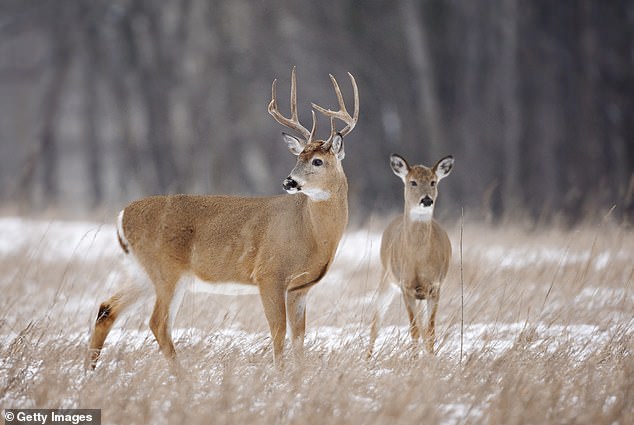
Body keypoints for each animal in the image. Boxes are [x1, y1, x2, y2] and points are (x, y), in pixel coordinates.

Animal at [87, 67, 358, 368]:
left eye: (317, 161)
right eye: (298, 157)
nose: (289, 181)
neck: (312, 233)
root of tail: (122, 216)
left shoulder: (301, 288)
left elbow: (299, 339)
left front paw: (299, 374)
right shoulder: (269, 274)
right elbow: (278, 333)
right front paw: (280, 374)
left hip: (142, 271)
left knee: (107, 308)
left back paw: (90, 371)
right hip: (166, 269)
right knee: (158, 322)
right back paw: (182, 376)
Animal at [366, 152, 454, 354]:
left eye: (433, 182)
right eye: (412, 182)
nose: (427, 200)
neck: (418, 260)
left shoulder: (435, 286)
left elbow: (430, 332)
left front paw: (430, 358)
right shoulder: (405, 286)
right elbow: (414, 331)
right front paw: (414, 359)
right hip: (387, 278)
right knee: (375, 322)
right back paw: (366, 357)